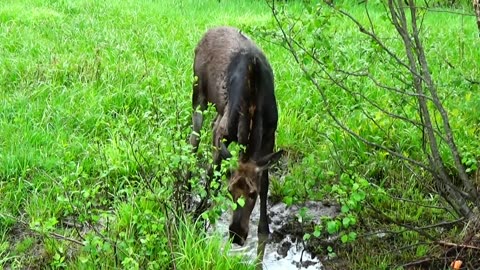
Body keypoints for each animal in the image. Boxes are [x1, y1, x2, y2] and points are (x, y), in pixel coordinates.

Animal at [189, 26, 284, 246]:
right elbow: (212, 171)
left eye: (252, 194)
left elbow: (265, 183)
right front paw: (200, 213)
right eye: (230, 191)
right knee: (194, 139)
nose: (236, 234)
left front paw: (264, 228)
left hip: (218, 109)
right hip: (198, 95)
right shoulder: (222, 133)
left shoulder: (269, 137)